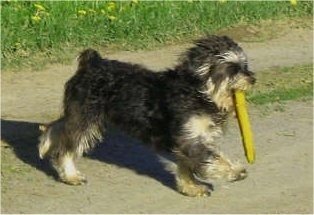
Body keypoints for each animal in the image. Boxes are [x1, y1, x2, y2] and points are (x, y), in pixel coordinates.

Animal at [38, 34, 255, 197]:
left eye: (245, 66)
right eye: (233, 68)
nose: (252, 79)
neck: (198, 92)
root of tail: (92, 63)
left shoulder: (188, 139)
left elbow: (185, 167)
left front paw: (191, 187)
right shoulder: (191, 139)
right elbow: (211, 158)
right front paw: (235, 171)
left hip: (82, 113)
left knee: (58, 126)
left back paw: (45, 144)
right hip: (86, 117)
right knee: (67, 147)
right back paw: (70, 175)